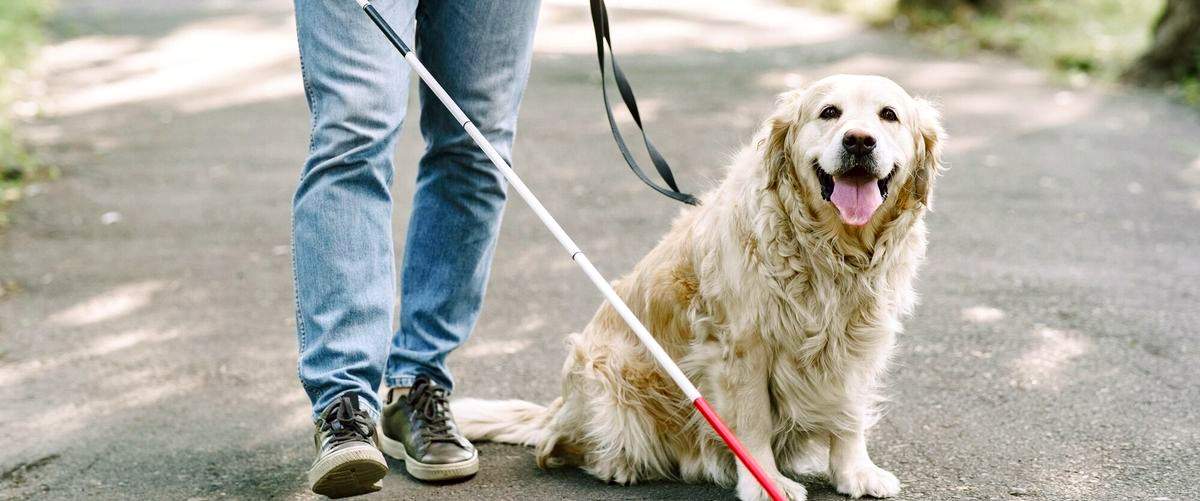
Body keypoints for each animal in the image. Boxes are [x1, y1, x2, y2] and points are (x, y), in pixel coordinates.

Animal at [451, 75, 945, 501]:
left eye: (888, 115)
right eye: (829, 112)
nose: (859, 140)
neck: (832, 250)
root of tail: (558, 406)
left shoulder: (859, 340)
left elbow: (850, 413)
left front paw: (855, 472)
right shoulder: (741, 347)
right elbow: (752, 421)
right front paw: (766, 482)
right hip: (605, 369)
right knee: (557, 445)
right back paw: (619, 464)